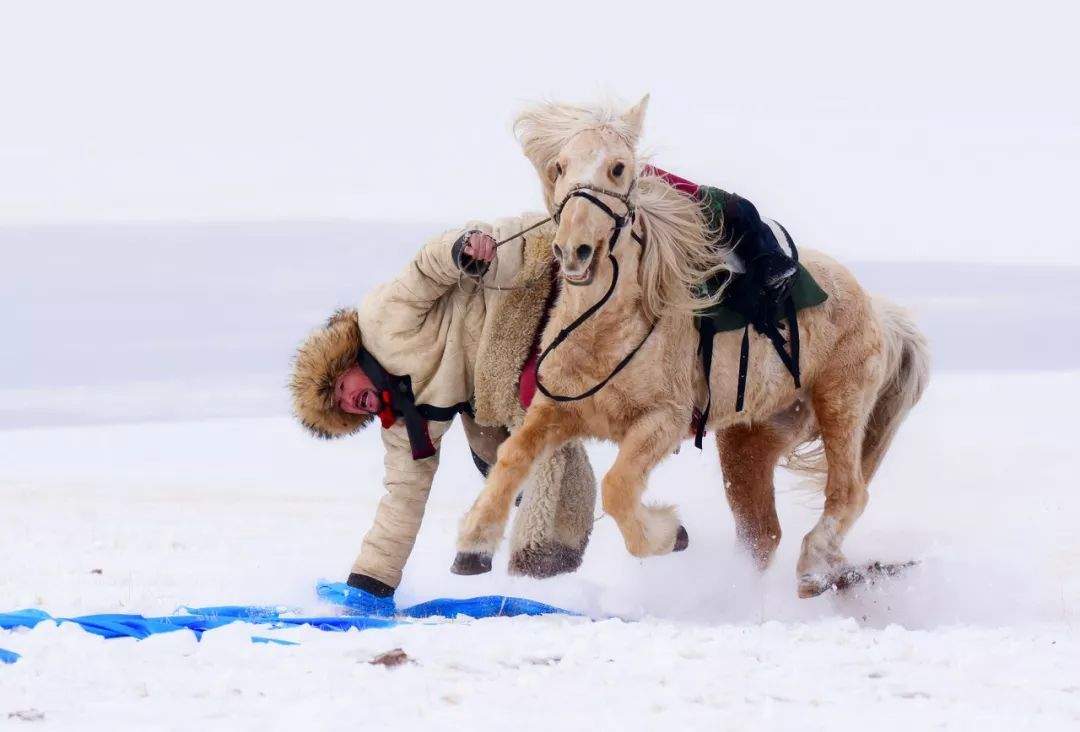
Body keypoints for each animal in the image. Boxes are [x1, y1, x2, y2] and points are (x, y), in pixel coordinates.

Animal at [451, 97, 924, 600]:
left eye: (618, 167)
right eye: (559, 167)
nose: (573, 250)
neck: (604, 330)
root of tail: (879, 311)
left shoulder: (663, 421)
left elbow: (618, 487)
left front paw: (667, 533)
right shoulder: (554, 411)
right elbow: (512, 457)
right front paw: (473, 544)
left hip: (840, 405)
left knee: (848, 493)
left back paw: (814, 569)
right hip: (748, 441)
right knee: (762, 532)